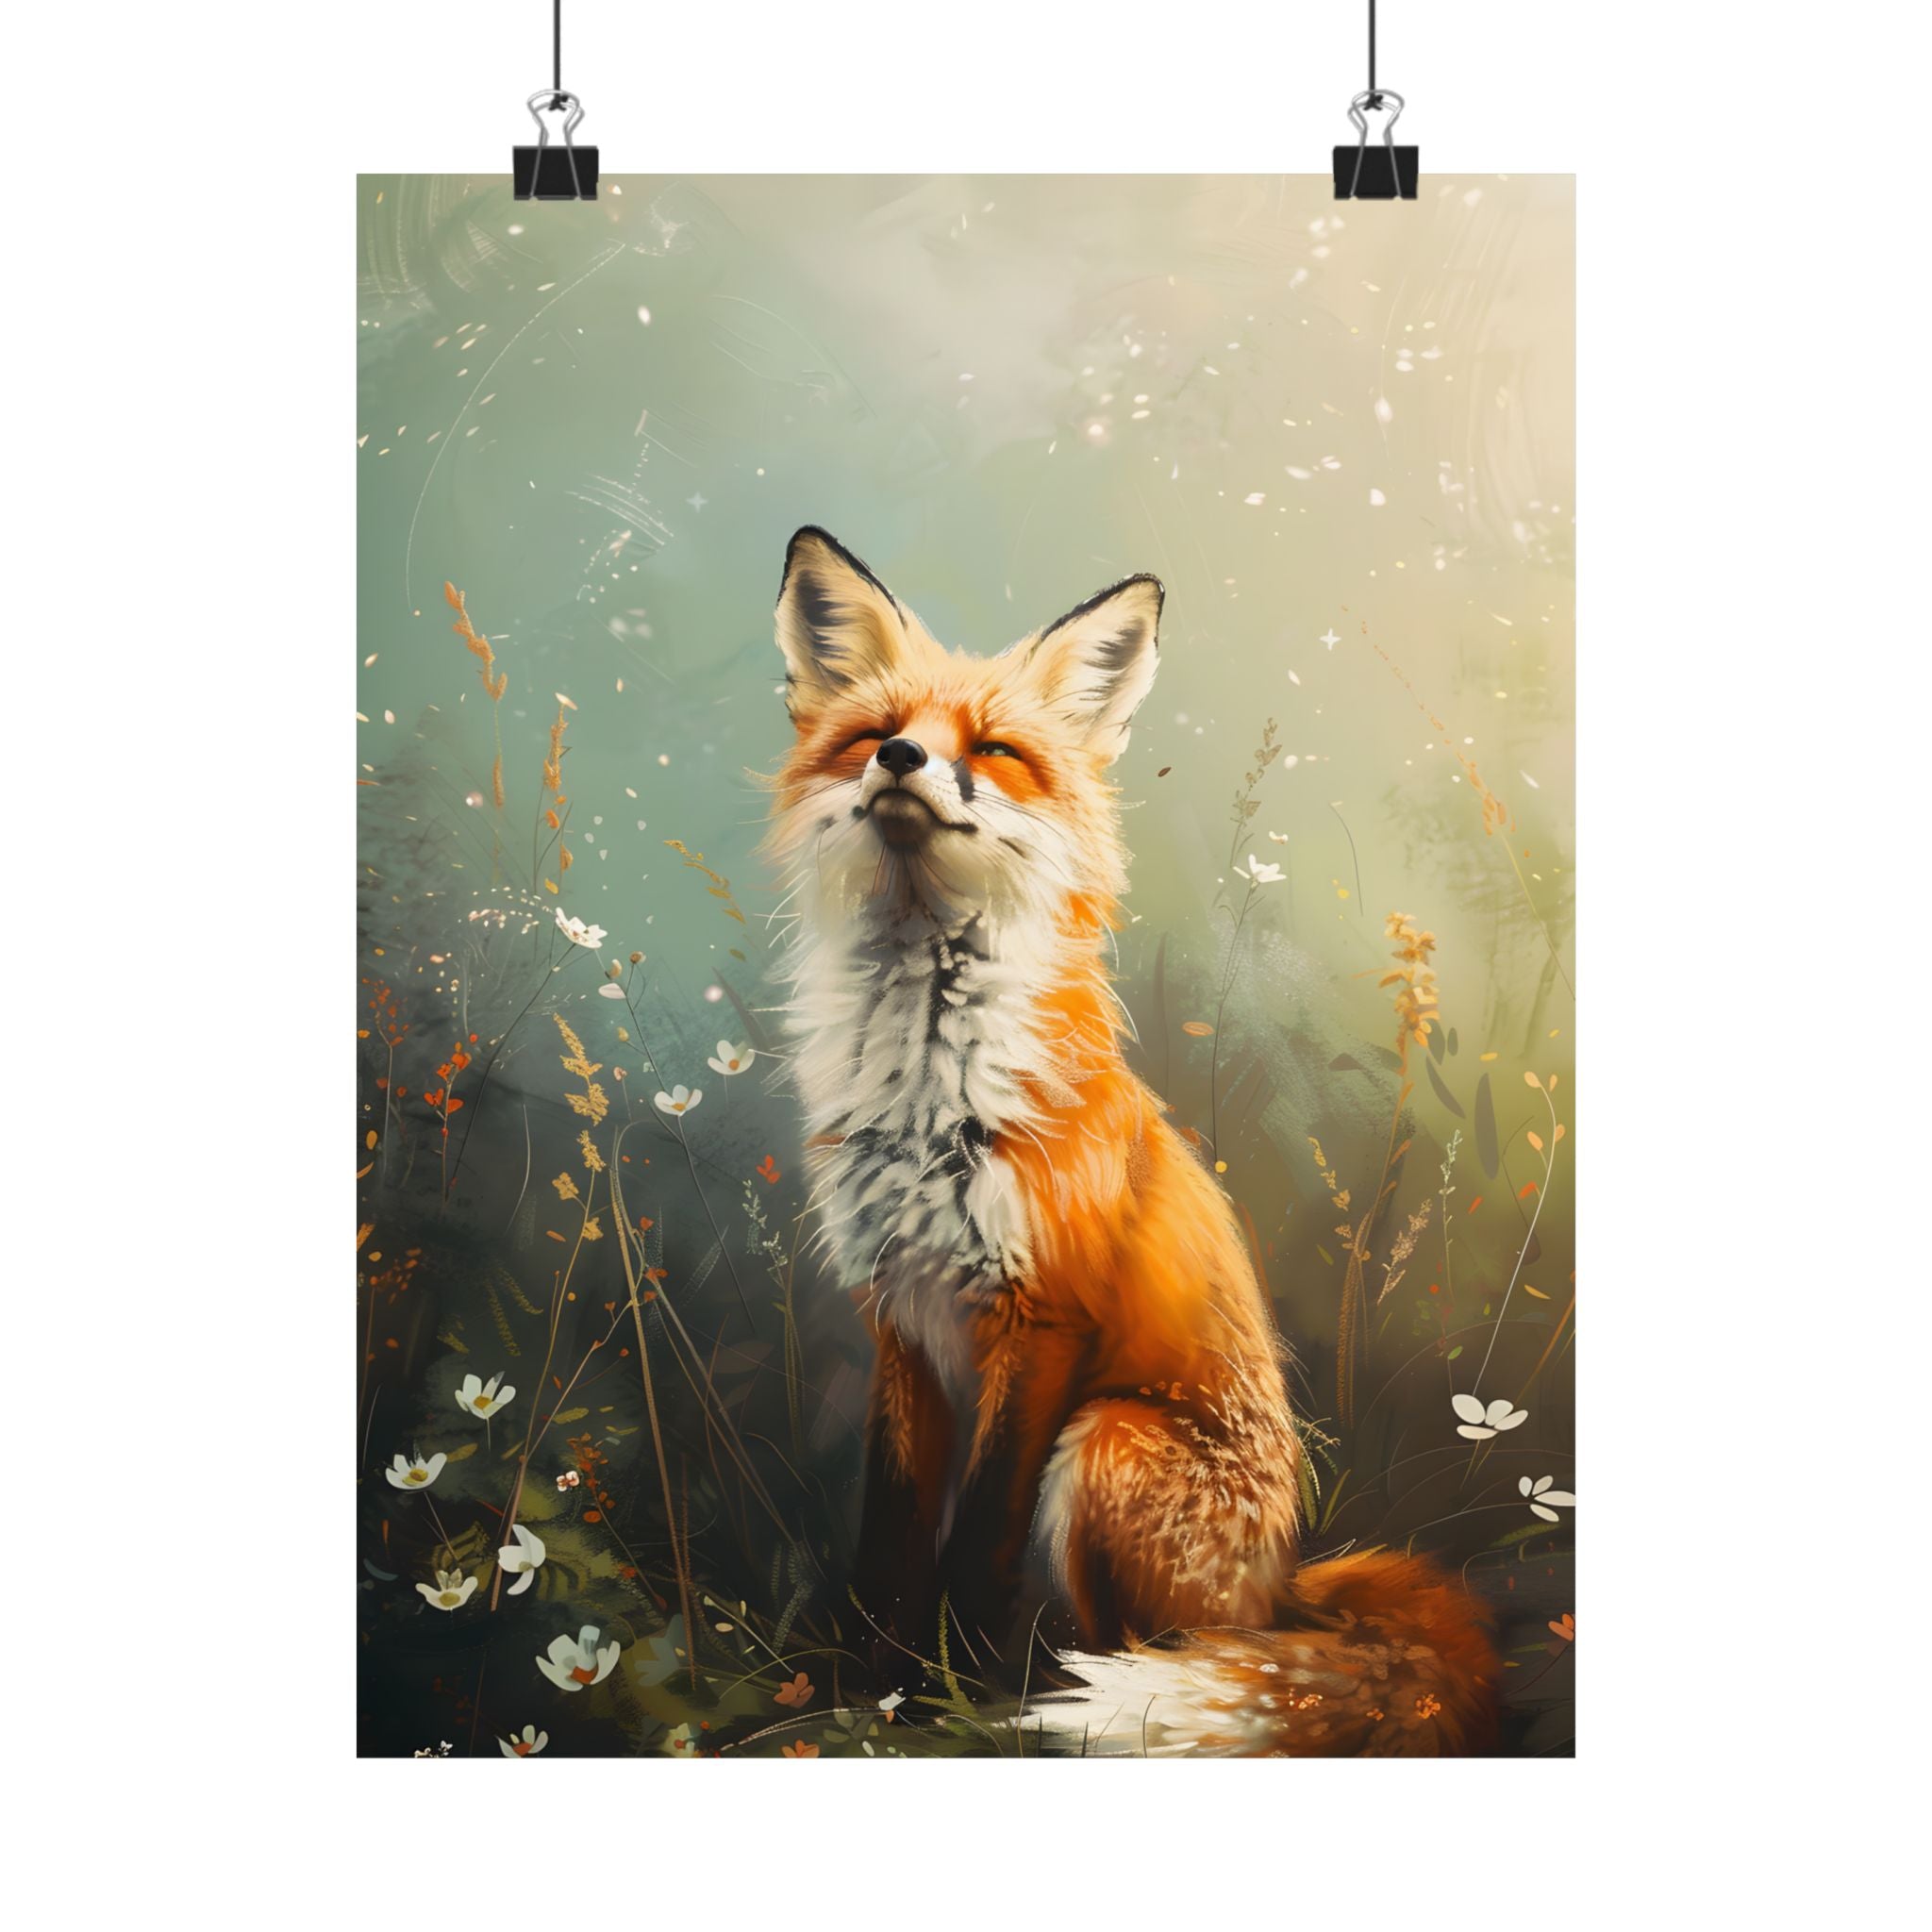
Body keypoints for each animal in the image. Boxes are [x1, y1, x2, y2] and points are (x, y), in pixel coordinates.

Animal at [764, 527, 1499, 1755]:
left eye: (994, 750)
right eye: (875, 733)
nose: (903, 760)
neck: (927, 1081)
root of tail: (1283, 1589)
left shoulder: (1043, 1315)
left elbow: (975, 1546)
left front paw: (941, 1693)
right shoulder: (898, 1315)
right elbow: (890, 1534)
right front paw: (859, 1683)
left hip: (1105, 1439)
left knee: (1158, 1658)